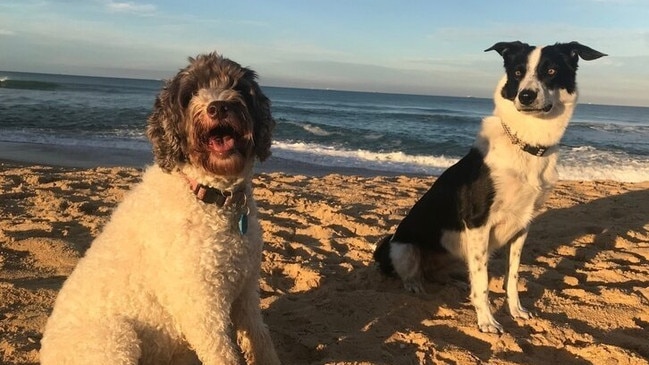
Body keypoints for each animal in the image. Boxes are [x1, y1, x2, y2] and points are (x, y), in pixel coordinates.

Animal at [39, 53, 280, 364]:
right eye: (190, 94)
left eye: (237, 86)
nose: (218, 106)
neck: (212, 197)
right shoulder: (202, 309)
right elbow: (223, 354)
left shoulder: (246, 291)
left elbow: (261, 341)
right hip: (116, 340)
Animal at [372, 42, 604, 332]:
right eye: (517, 72)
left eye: (551, 70)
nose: (526, 96)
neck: (525, 144)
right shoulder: (477, 223)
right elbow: (482, 282)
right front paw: (486, 321)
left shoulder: (522, 226)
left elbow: (512, 276)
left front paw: (515, 310)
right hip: (402, 247)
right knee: (412, 273)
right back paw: (415, 285)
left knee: (439, 274)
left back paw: (455, 282)